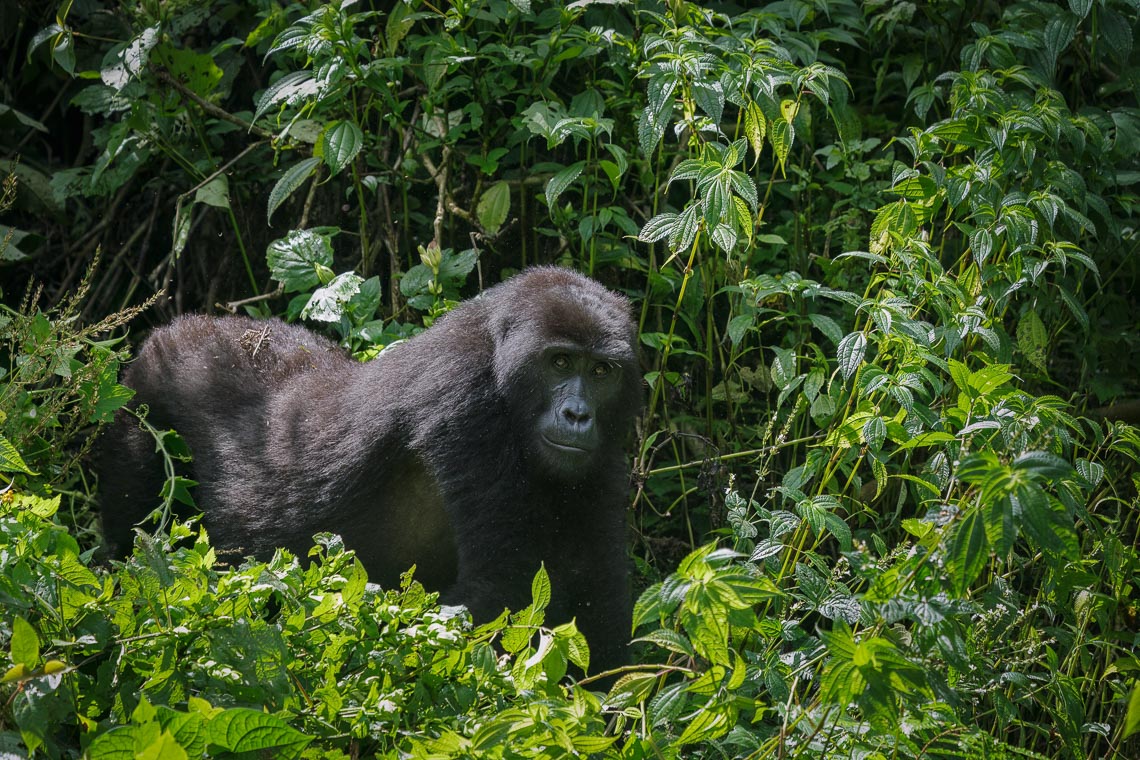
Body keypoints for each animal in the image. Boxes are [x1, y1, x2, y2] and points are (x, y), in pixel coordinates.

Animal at [98, 268, 642, 669]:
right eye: (559, 362)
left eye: (601, 372)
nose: (577, 415)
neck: (496, 351)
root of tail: (169, 333)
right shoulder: (468, 403)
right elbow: (499, 590)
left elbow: (597, 592)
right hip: (143, 396)